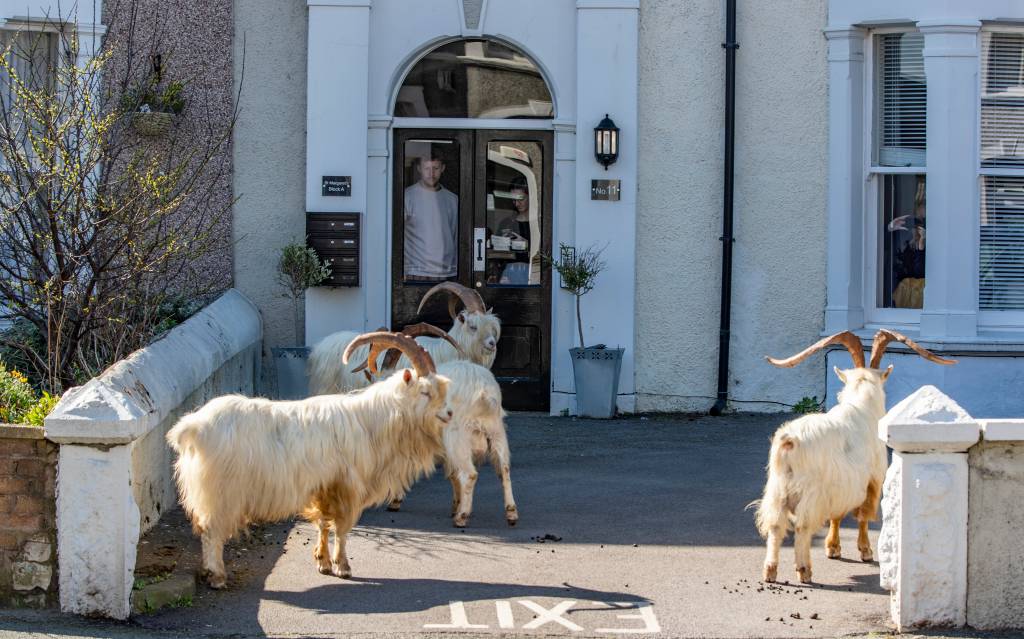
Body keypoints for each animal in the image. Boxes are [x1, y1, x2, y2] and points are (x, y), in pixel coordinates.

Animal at [166, 333, 448, 589]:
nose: (449, 413)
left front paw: (323, 562)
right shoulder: (346, 486)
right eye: (425, 392)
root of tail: (193, 426)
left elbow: (323, 523)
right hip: (221, 491)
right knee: (211, 531)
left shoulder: (324, 485)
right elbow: (342, 528)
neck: (370, 420)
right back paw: (218, 577)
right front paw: (343, 567)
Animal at [753, 329, 950, 585]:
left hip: (777, 490)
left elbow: (836, 516)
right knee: (802, 527)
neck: (862, 408)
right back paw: (804, 570)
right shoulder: (873, 479)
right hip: (809, 492)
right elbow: (863, 515)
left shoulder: (840, 488)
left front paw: (833, 548)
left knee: (776, 526)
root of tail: (790, 441)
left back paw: (770, 571)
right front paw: (865, 551)